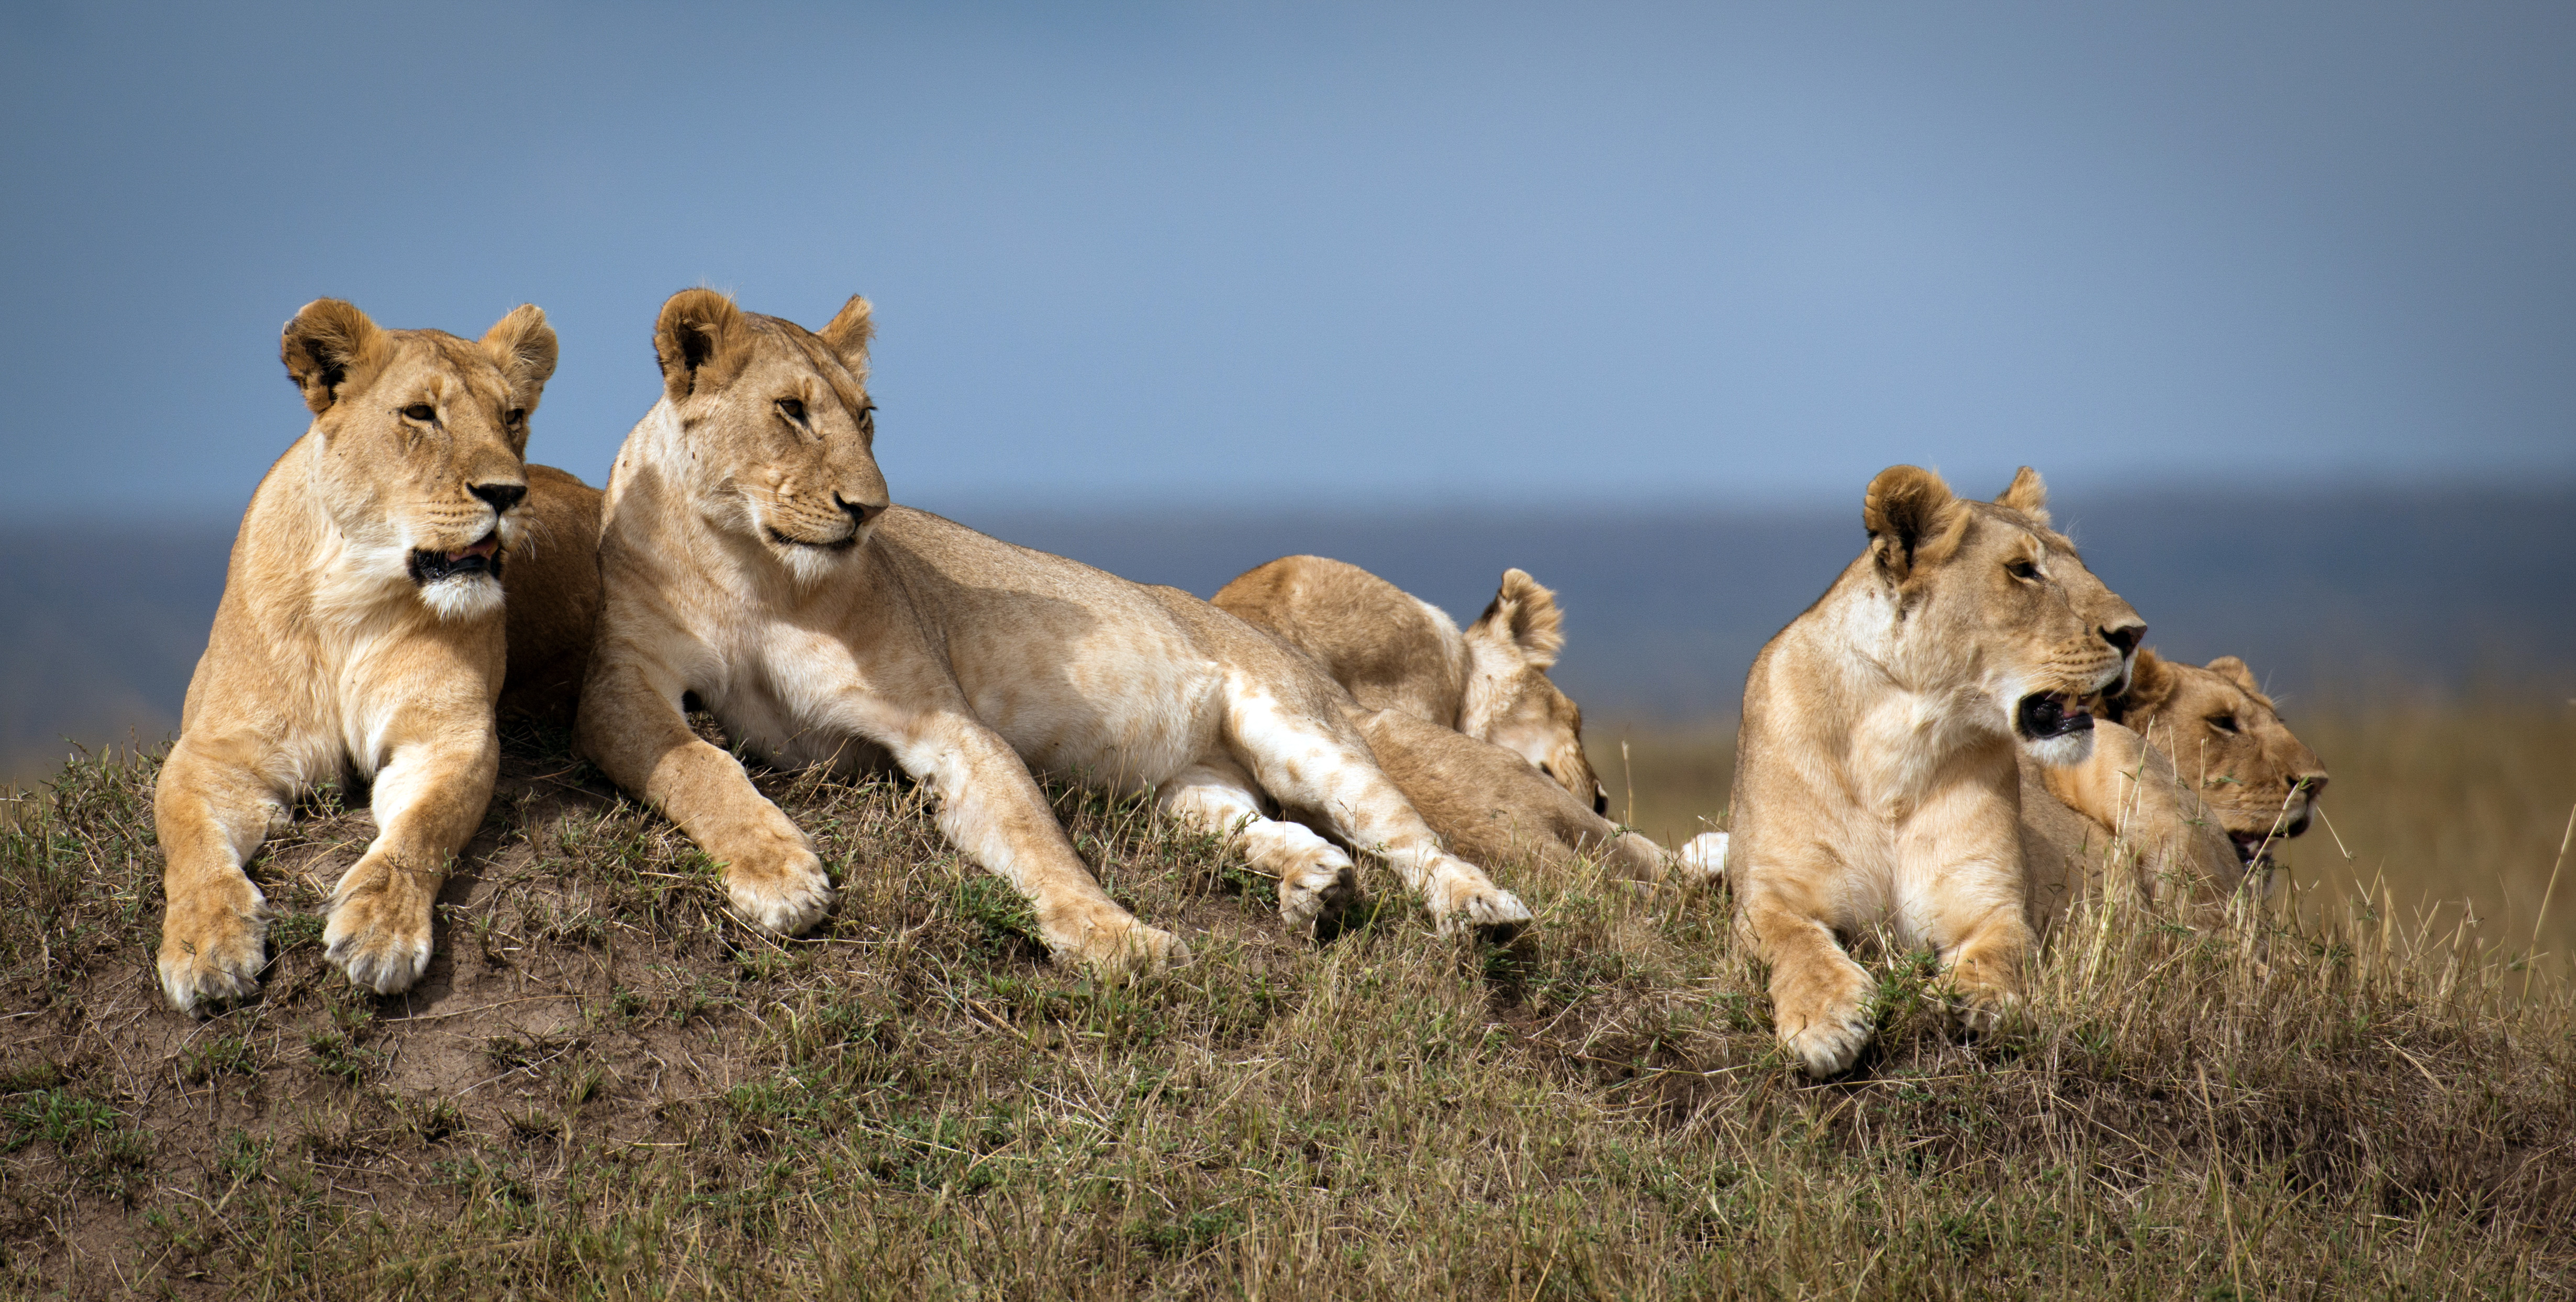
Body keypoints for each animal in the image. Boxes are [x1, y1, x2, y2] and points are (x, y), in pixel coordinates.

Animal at [158, 299, 587, 1010]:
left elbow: (420, 833)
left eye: (512, 416)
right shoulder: (216, 750)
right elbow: (189, 841)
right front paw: (207, 947)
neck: (349, 598)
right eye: (420, 413)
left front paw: (379, 931)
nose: (507, 493)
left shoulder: (449, 738)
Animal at [574, 288, 1525, 969]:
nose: (870, 510)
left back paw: (1481, 908)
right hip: (1187, 791)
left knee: (1408, 833)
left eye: (865, 415)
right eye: (791, 410)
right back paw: (1314, 884)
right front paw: (776, 875)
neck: (755, 571)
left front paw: (1113, 938)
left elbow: (1034, 837)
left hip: (1298, 732)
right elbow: (699, 764)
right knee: (1264, 826)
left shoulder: (943, 724)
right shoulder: (620, 682)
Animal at [1731, 461, 2153, 1072]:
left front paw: (1974, 1000)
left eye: (2079, 563)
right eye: (2022, 570)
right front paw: (1825, 1020)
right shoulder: (1767, 894)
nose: (2135, 633)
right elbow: (1795, 942)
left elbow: (2003, 951)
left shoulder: (1994, 905)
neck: (1901, 736)